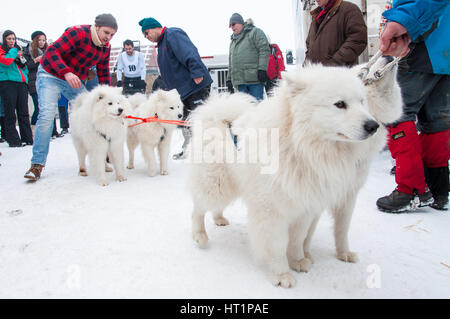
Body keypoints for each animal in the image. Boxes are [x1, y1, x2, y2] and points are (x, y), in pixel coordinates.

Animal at [186, 56, 400, 288]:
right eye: (340, 104)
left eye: (362, 102)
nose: (372, 125)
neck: (300, 147)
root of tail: (216, 119)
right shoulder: (273, 209)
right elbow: (278, 245)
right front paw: (282, 275)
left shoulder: (307, 206)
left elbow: (299, 238)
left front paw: (298, 260)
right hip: (216, 186)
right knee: (197, 209)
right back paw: (199, 235)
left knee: (213, 208)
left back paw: (219, 219)